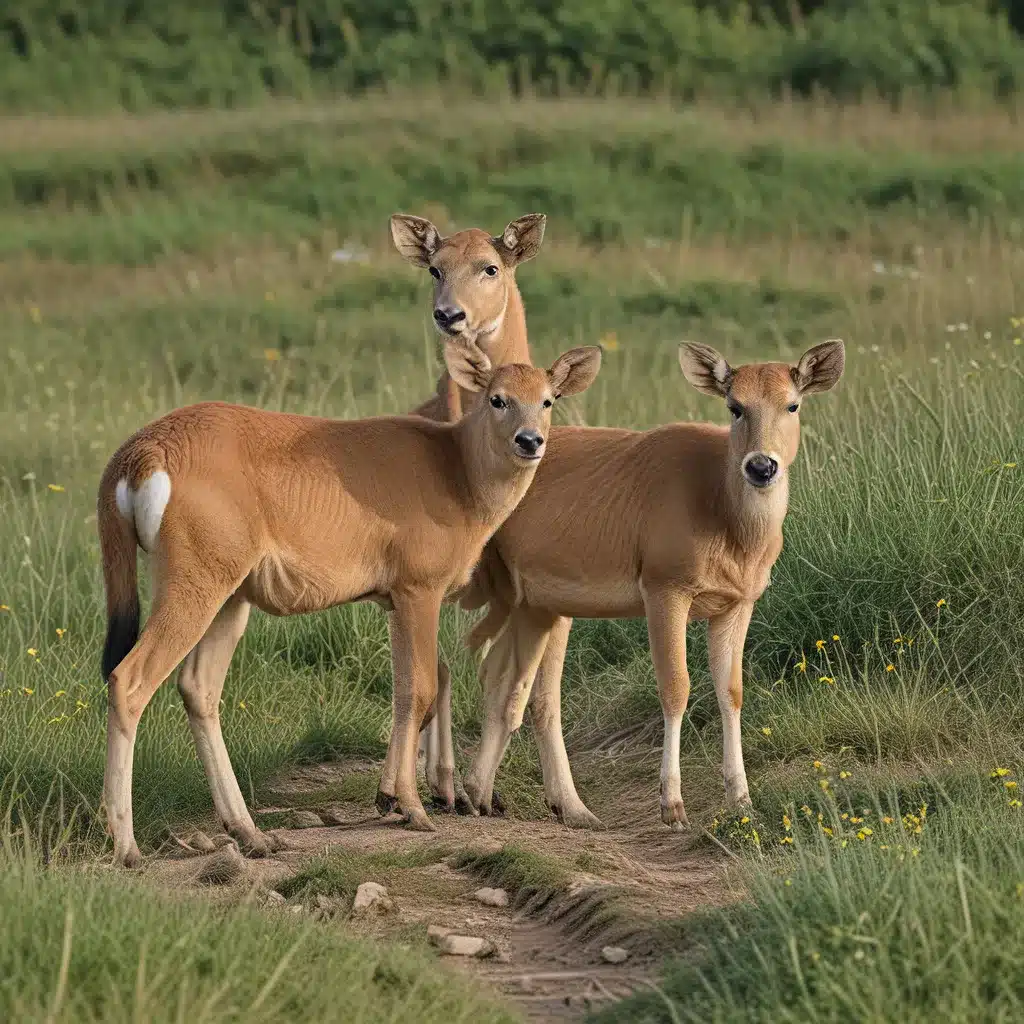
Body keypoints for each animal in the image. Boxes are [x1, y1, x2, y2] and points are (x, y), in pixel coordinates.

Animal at [96, 335, 602, 864]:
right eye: (497, 398)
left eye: (548, 400)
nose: (530, 441)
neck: (455, 472)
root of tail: (138, 453)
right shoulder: (419, 588)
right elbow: (421, 689)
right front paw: (414, 808)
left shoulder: (393, 599)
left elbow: (406, 690)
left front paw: (392, 798)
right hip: (194, 582)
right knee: (129, 680)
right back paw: (127, 846)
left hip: (230, 593)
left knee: (199, 688)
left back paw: (249, 832)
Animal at [428, 339, 843, 827]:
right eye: (735, 406)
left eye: (793, 404)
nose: (761, 466)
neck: (722, 515)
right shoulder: (664, 586)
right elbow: (676, 688)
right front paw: (672, 804)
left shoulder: (739, 602)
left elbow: (732, 692)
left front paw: (741, 800)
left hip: (539, 603)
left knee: (511, 685)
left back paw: (511, 797)